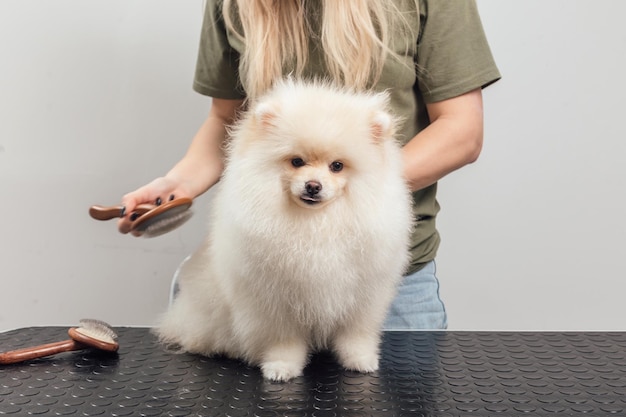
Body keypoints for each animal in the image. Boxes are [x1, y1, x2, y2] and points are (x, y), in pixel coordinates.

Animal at [154, 78, 412, 380]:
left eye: (337, 166)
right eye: (296, 161)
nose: (313, 186)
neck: (316, 223)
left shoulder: (363, 296)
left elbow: (355, 335)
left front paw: (360, 360)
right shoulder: (274, 300)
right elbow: (283, 339)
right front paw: (281, 366)